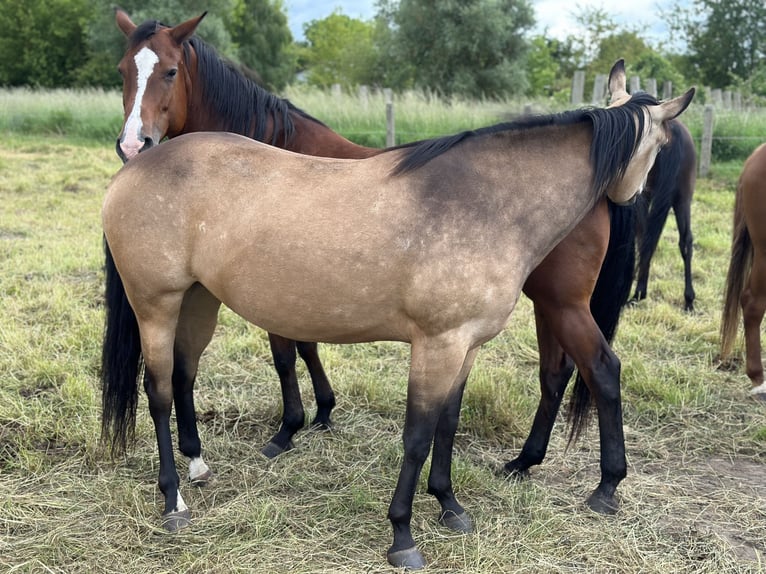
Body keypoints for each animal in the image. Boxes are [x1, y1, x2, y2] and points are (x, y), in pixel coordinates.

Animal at [112, 11, 640, 489]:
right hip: (551, 303)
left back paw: (603, 481)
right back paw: (525, 462)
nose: (134, 146)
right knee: (556, 374)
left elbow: (288, 355)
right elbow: (307, 344)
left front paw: (290, 428)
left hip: (560, 301)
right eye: (122, 70)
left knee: (600, 369)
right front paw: (322, 412)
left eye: (170, 71)